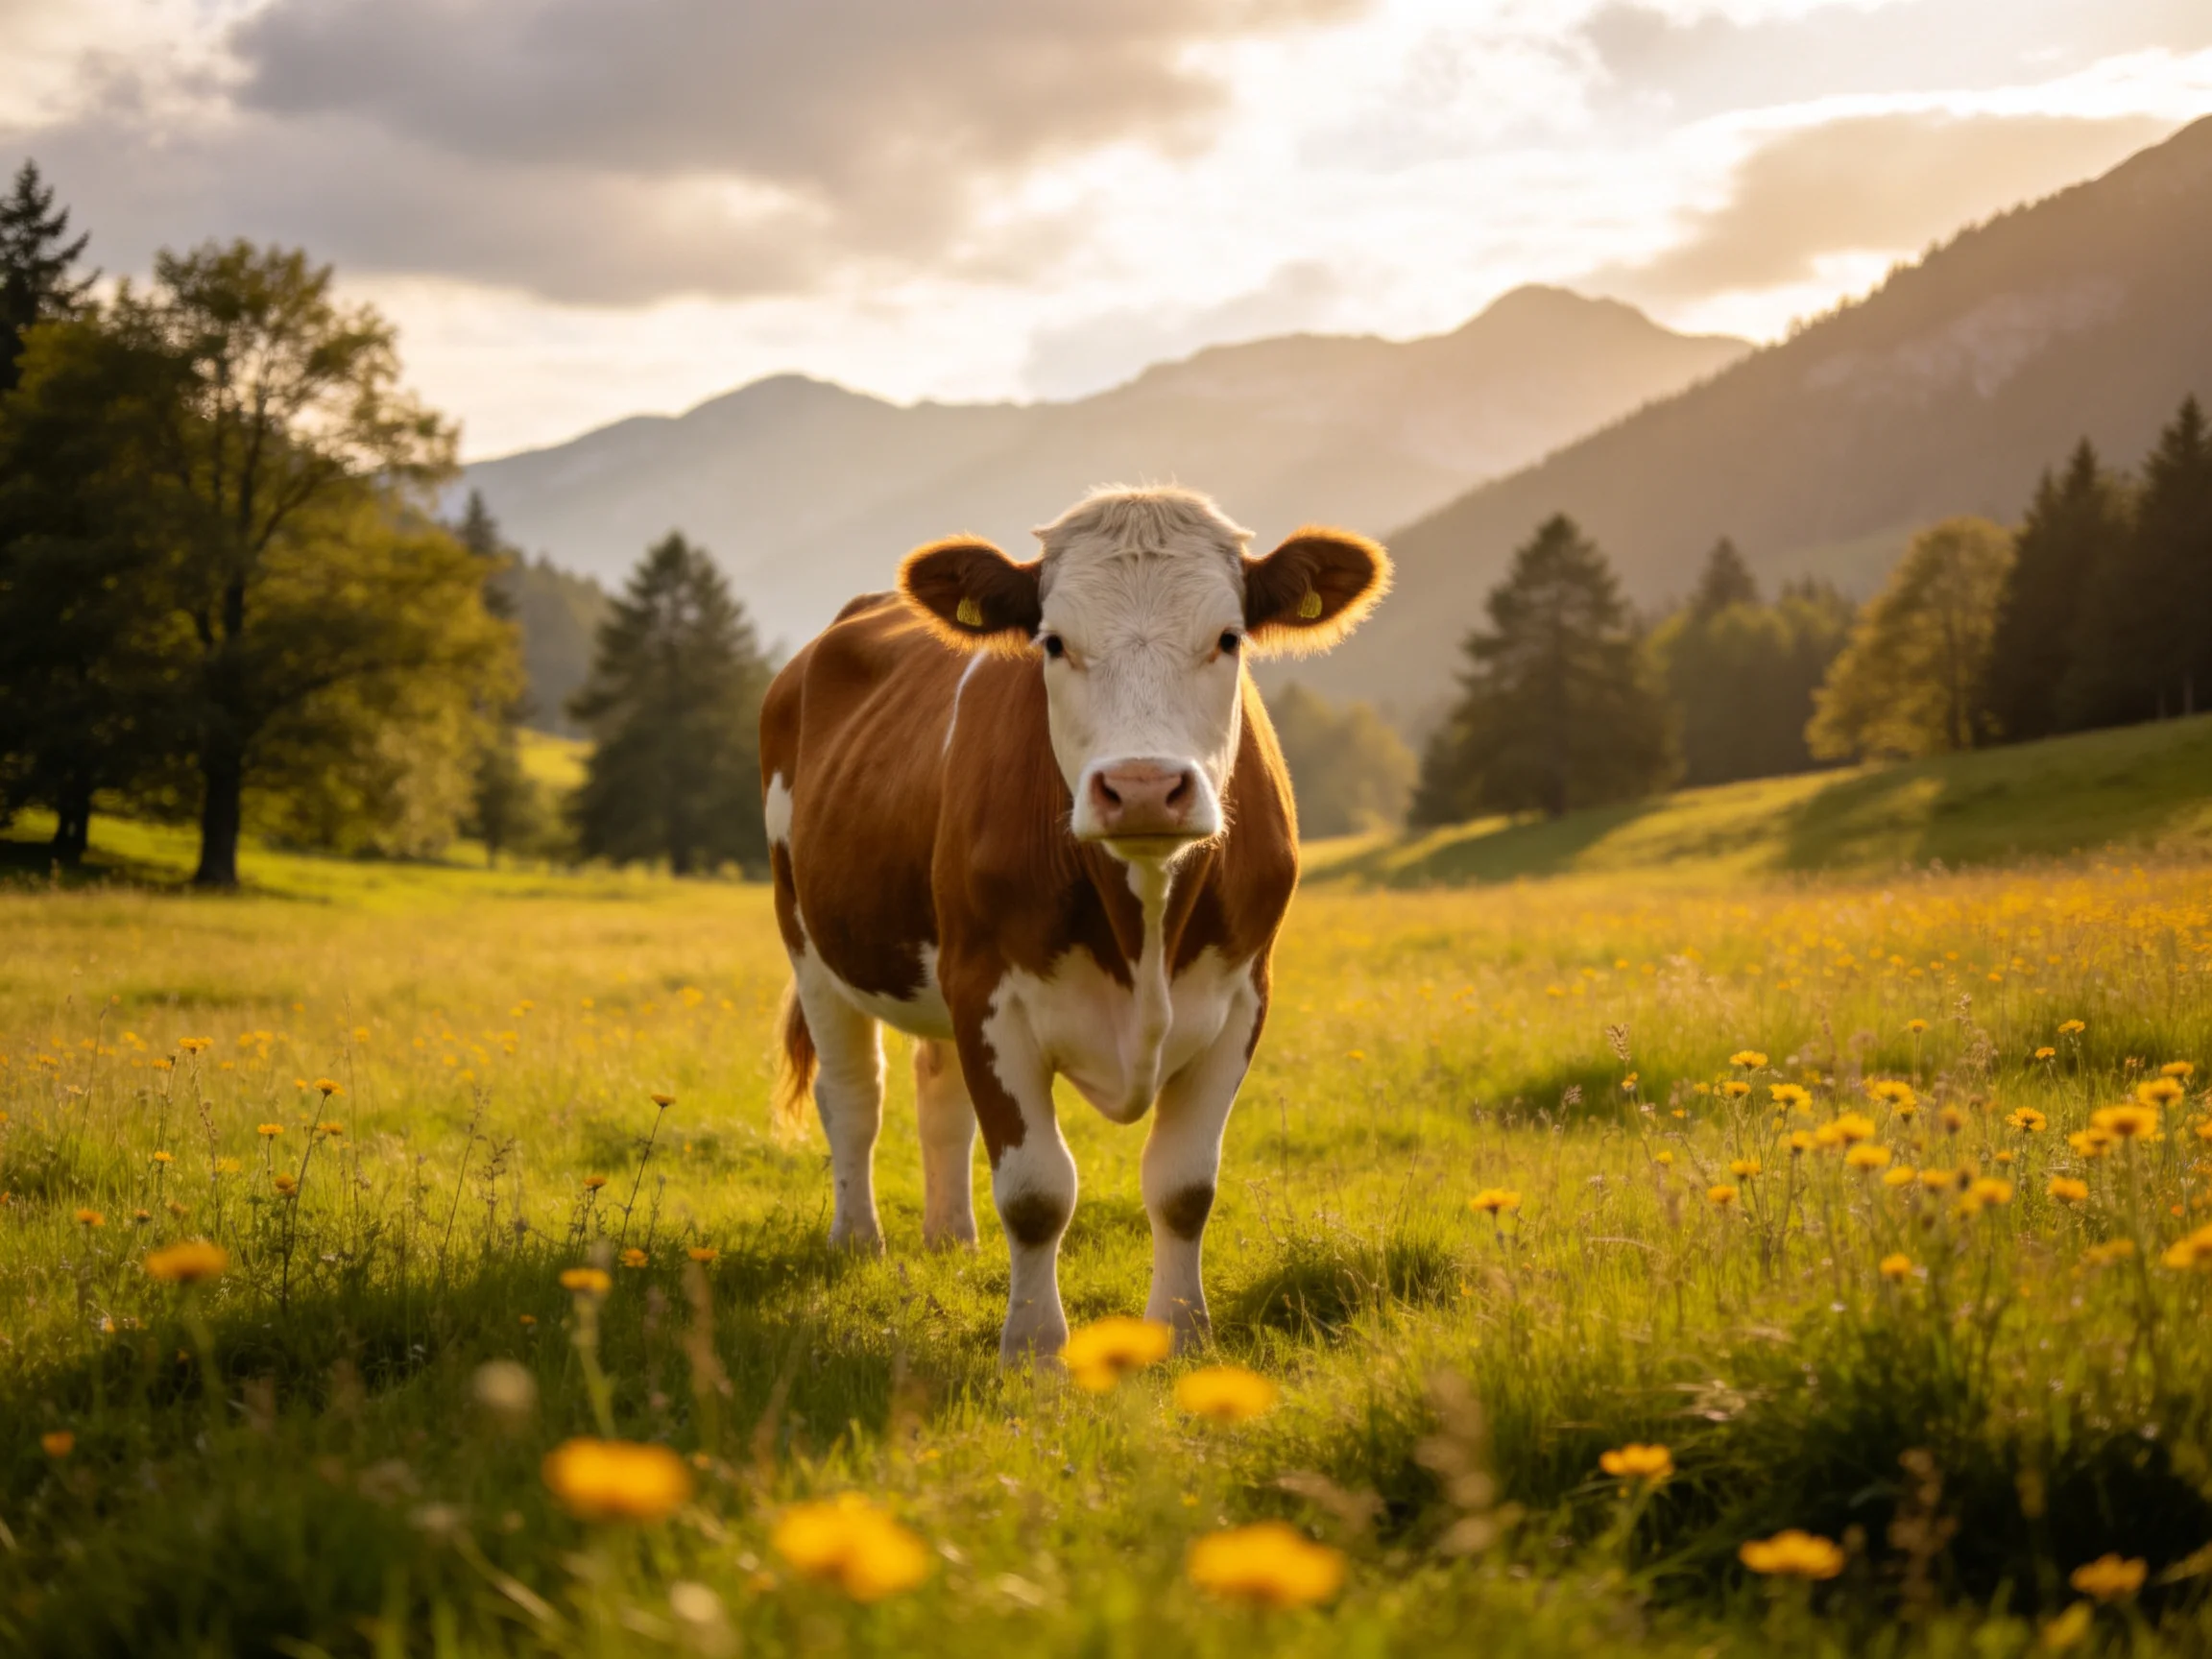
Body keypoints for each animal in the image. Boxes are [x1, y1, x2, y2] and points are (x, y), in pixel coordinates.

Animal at [759, 486, 1390, 1365]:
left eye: (1228, 638)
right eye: (1053, 642)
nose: (1144, 786)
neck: (1142, 922)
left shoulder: (1243, 996)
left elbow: (1185, 1185)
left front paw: (1183, 1334)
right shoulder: (989, 990)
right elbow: (1035, 1191)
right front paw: (1033, 1350)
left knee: (936, 1086)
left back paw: (950, 1237)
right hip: (811, 940)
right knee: (853, 1094)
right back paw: (859, 1241)